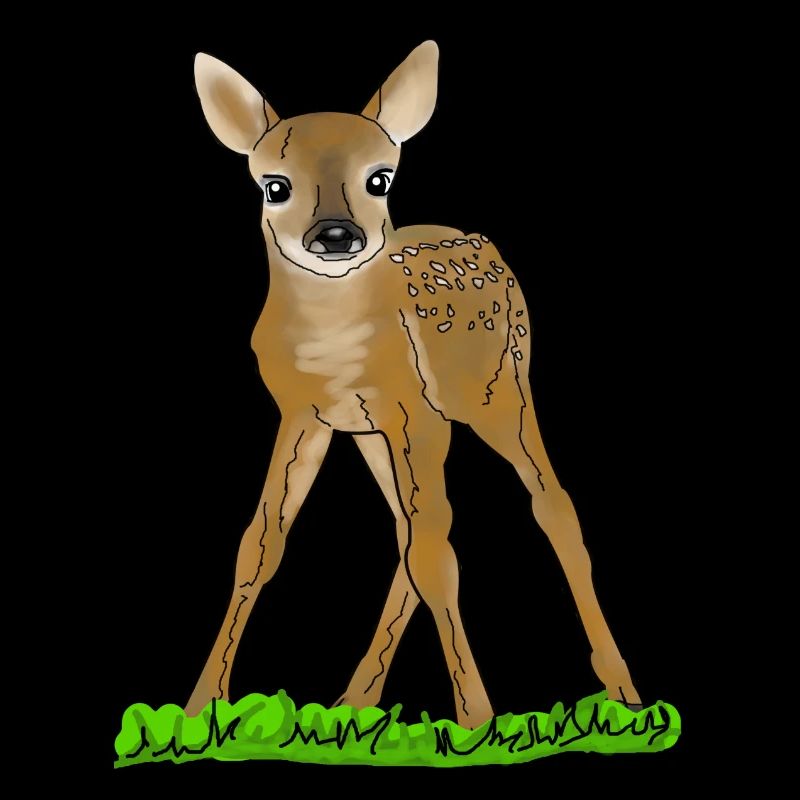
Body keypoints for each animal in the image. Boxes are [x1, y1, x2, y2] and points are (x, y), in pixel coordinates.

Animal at [186, 41, 642, 729]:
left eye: (380, 178)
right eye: (274, 185)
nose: (336, 235)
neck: (337, 351)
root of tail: (474, 236)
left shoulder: (413, 412)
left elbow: (437, 556)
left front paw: (476, 721)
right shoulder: (305, 414)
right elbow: (260, 544)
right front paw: (198, 708)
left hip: (500, 387)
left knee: (548, 506)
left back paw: (622, 691)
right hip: (384, 432)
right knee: (409, 530)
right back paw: (353, 702)